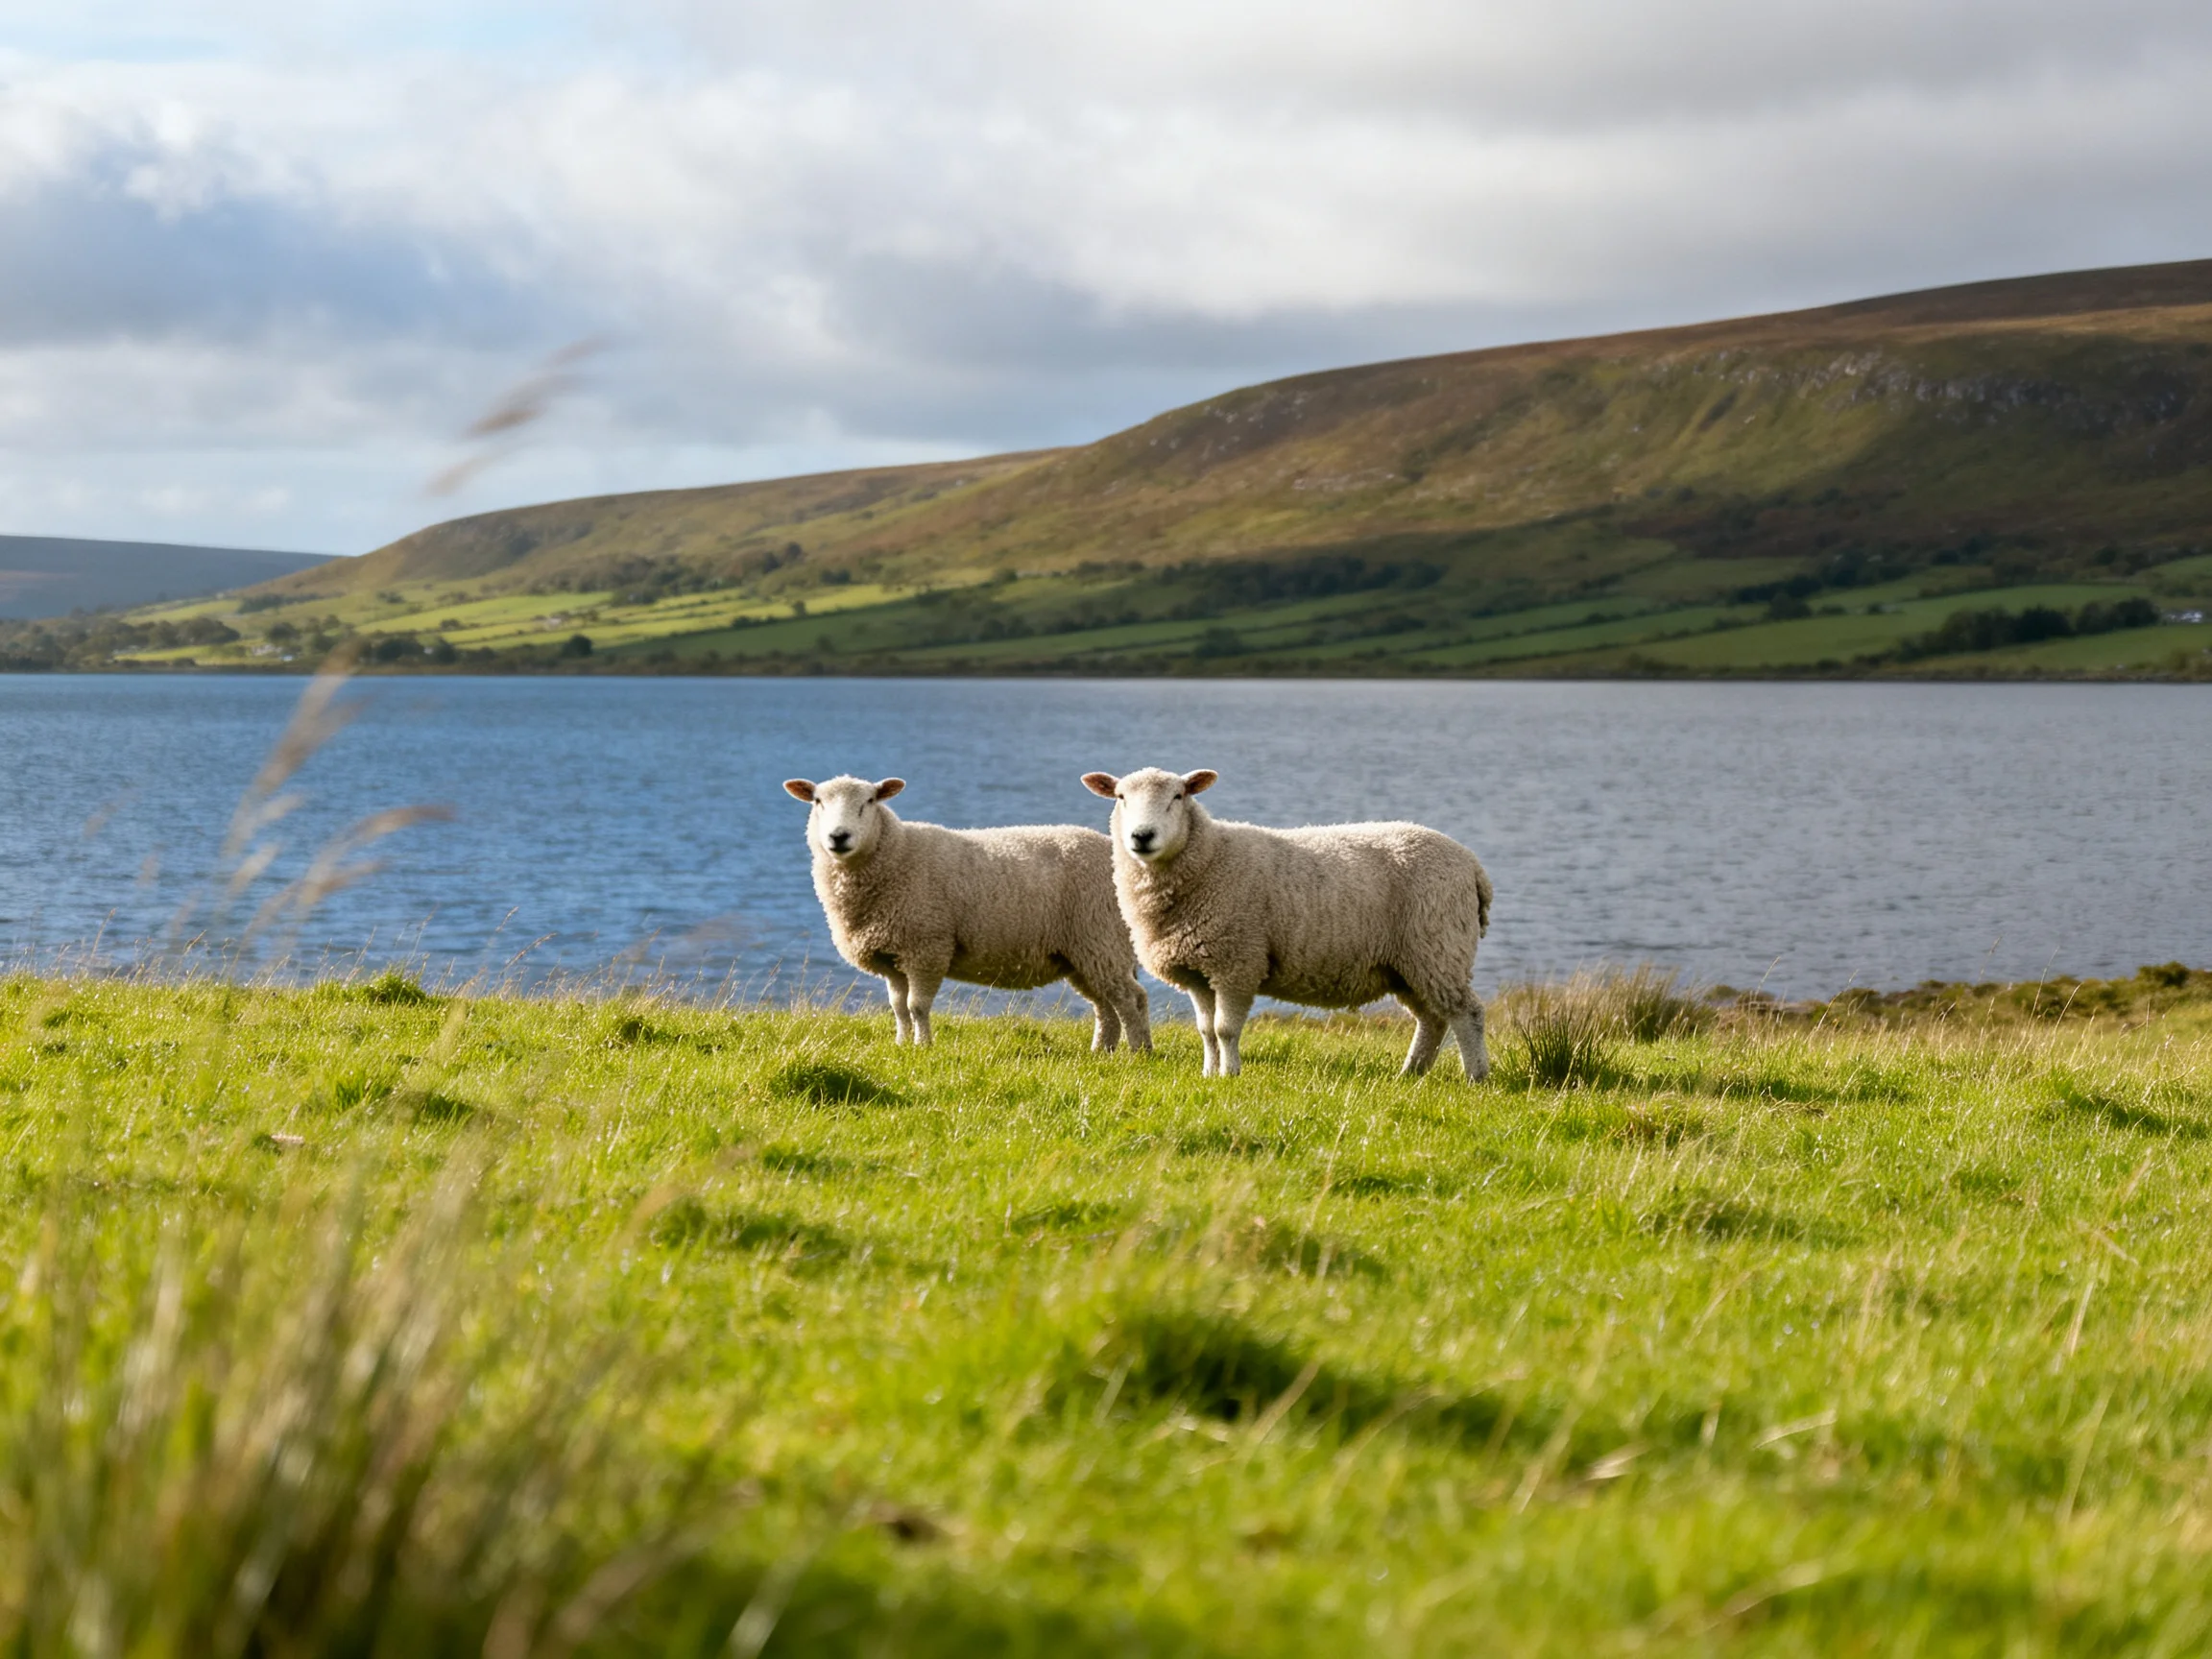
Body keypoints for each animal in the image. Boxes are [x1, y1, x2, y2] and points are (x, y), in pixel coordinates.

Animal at [784, 775, 1151, 1052]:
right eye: (817, 802)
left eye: (870, 801)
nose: (838, 837)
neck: (896, 855)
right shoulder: (893, 956)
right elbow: (898, 1008)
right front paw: (901, 1045)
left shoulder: (927, 947)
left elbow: (917, 1006)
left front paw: (923, 1047)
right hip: (1083, 953)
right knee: (1105, 1006)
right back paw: (1102, 1052)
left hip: (1101, 938)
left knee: (1131, 999)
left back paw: (1138, 1052)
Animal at [1079, 767, 1492, 1080]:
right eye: (1120, 797)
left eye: (1178, 796)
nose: (1142, 836)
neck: (1210, 858)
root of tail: (1471, 863)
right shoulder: (1198, 970)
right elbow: (1206, 1031)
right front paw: (1209, 1073)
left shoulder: (1237, 962)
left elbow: (1225, 1029)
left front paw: (1230, 1075)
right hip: (1410, 963)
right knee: (1432, 1019)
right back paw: (1411, 1073)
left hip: (1438, 946)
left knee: (1466, 1013)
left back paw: (1476, 1076)